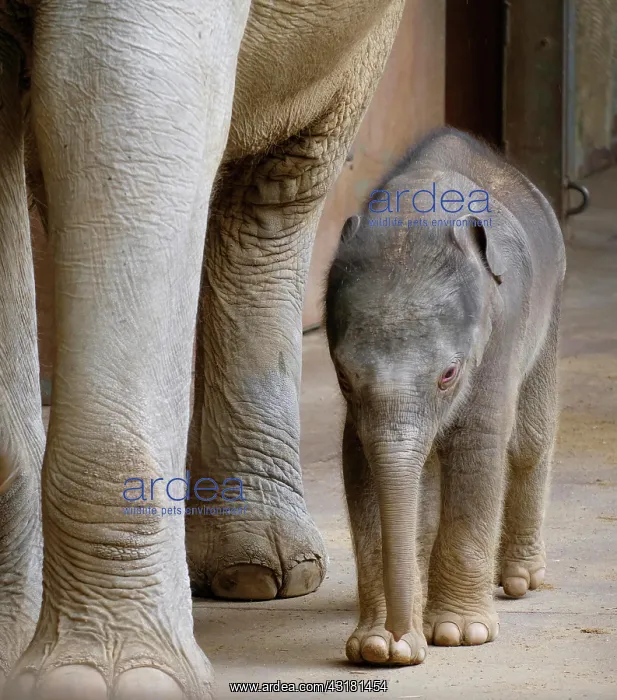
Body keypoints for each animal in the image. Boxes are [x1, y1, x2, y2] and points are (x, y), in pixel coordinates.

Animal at [324, 128, 566, 665]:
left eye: (449, 374)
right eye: (344, 378)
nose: (399, 640)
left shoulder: (502, 328)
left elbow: (477, 446)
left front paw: (458, 633)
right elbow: (360, 463)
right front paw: (376, 646)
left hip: (552, 305)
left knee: (528, 442)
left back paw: (519, 580)